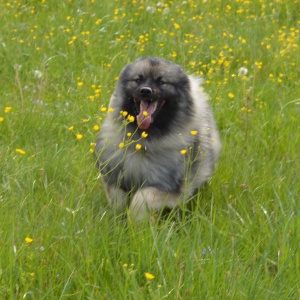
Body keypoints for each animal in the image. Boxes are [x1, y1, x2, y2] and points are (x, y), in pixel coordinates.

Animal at [96, 56, 220, 220]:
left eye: (161, 82)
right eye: (138, 80)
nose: (145, 91)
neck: (143, 142)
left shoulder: (169, 187)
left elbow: (142, 196)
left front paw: (137, 220)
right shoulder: (115, 178)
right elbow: (118, 201)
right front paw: (119, 218)